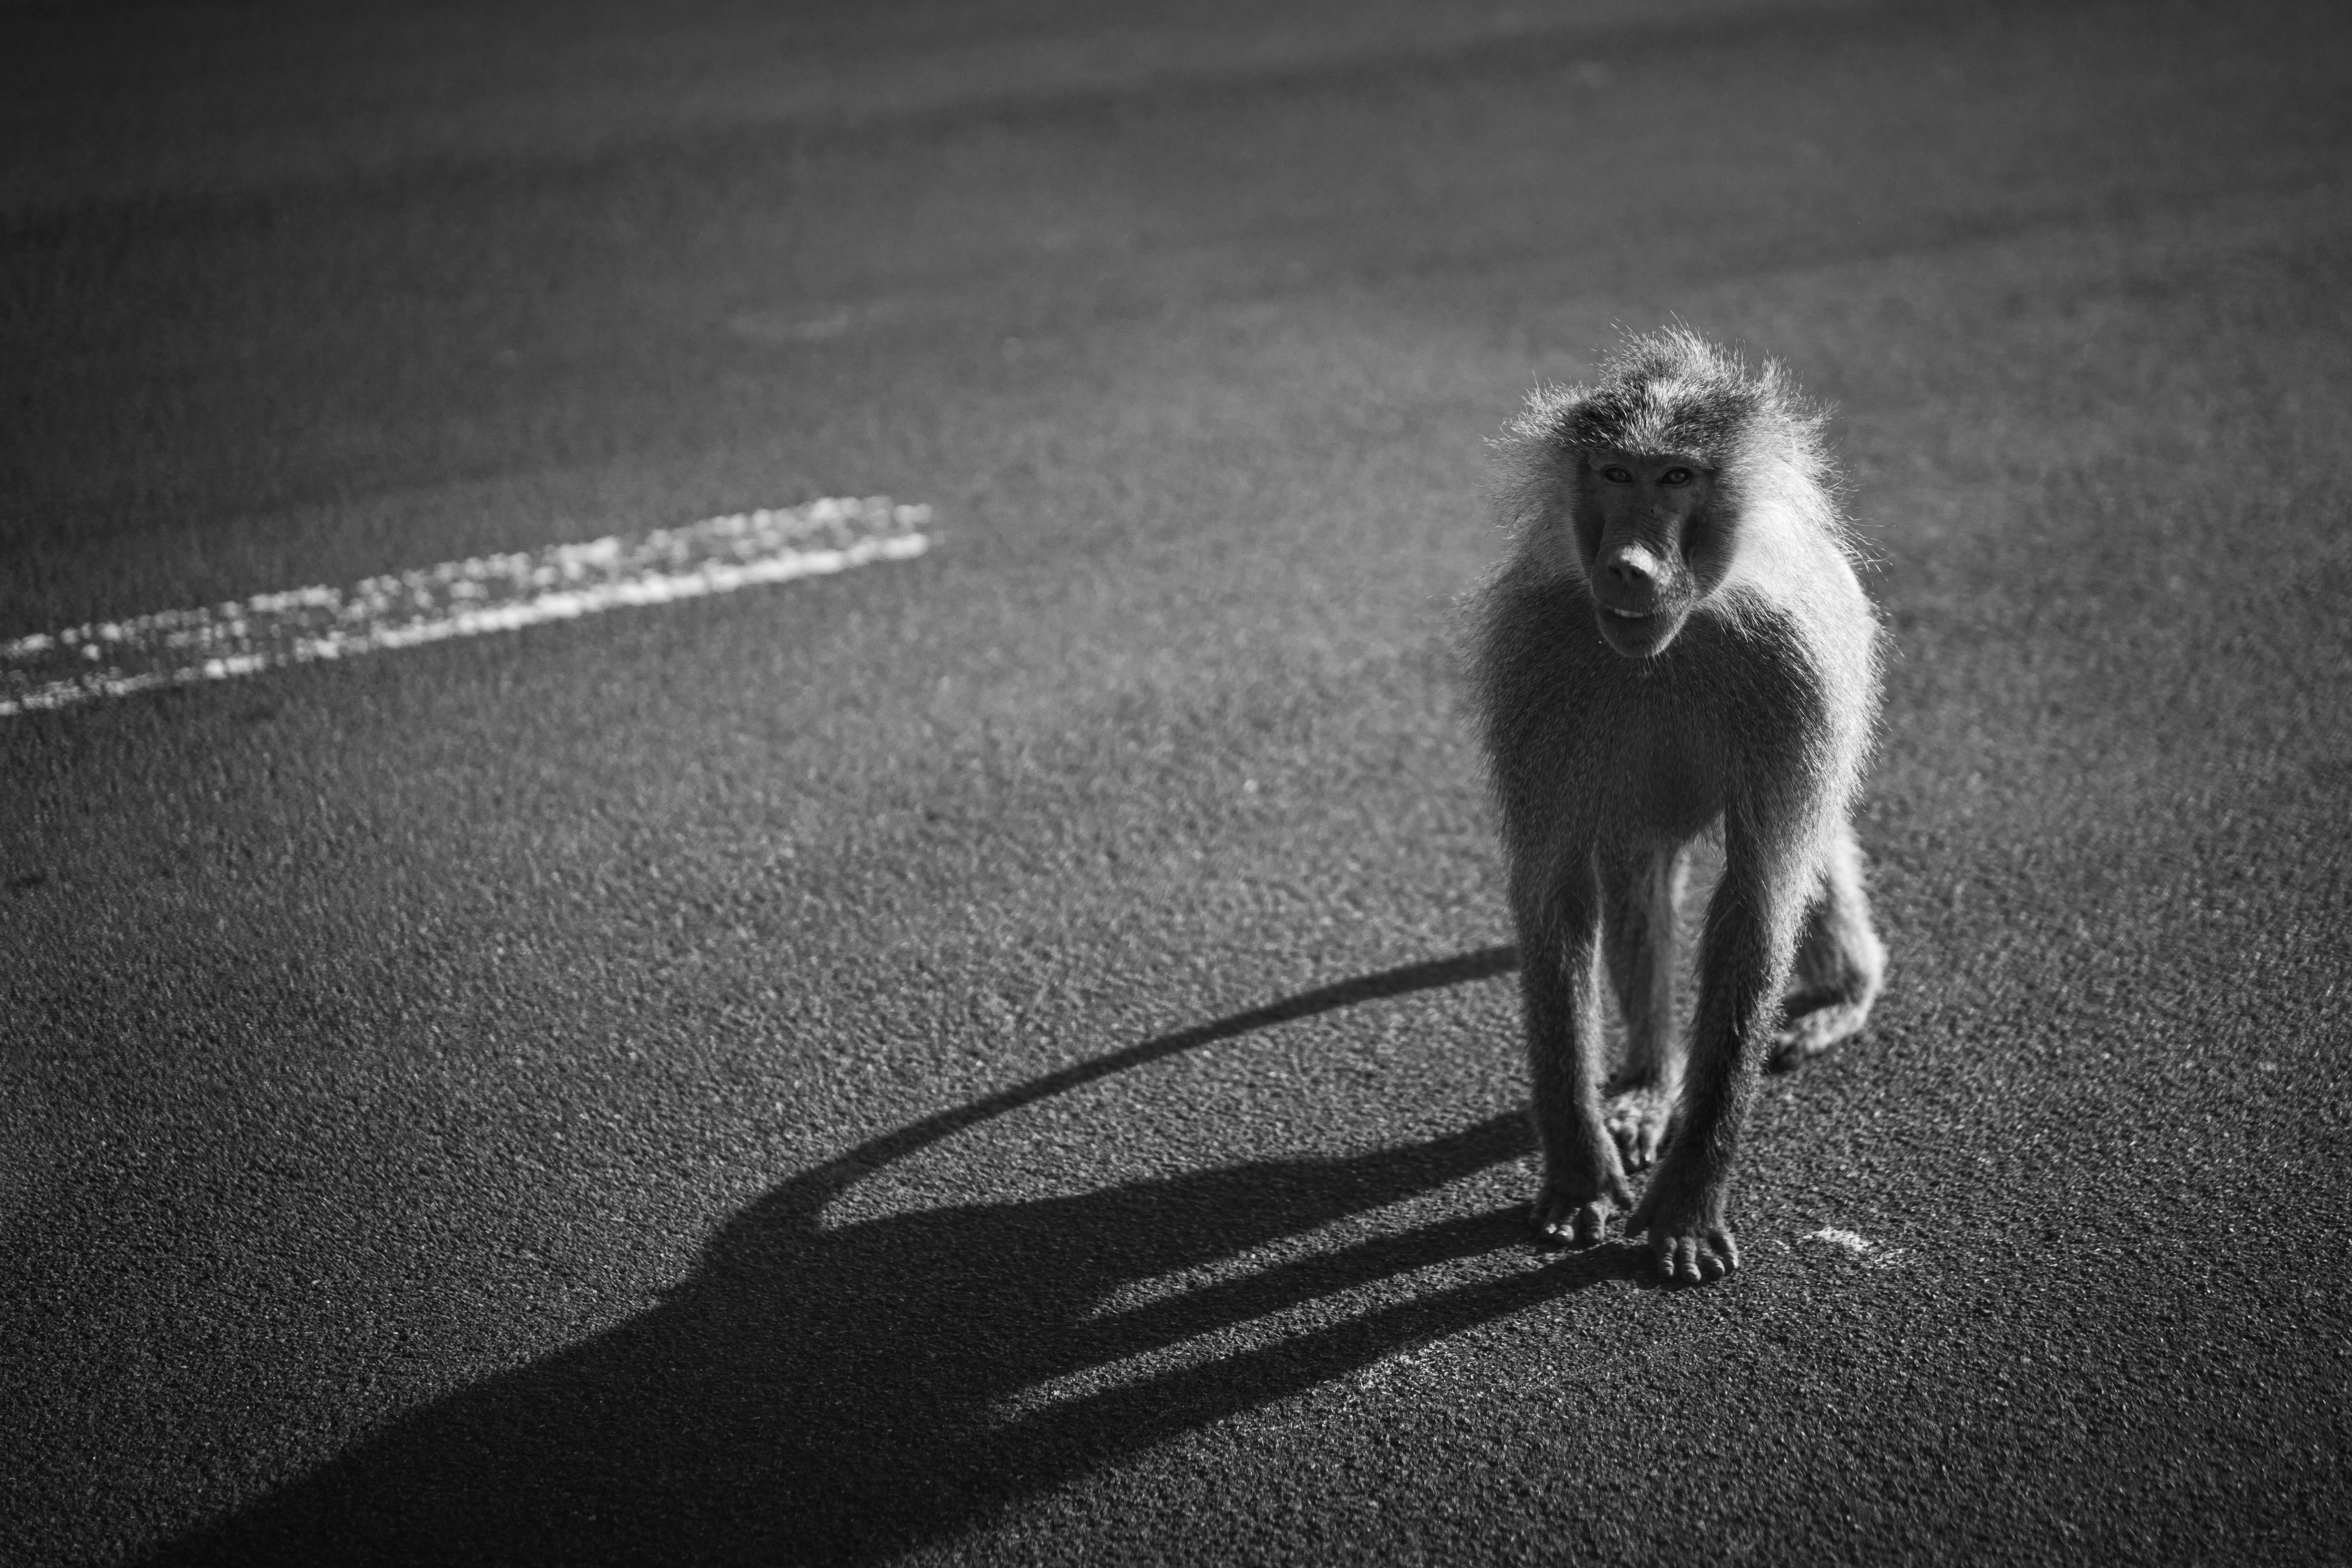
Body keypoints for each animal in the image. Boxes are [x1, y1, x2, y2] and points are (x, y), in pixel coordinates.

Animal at [1472, 327, 1886, 1285]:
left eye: (1674, 478)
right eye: (1614, 473)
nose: (1629, 566)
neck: (1686, 630)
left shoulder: (1795, 672)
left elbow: (1756, 904)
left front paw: (1689, 1202)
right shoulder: (1536, 655)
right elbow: (1555, 897)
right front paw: (1579, 1171)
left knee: (1809, 855)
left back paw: (1841, 995)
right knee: (1634, 867)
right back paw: (1649, 1084)